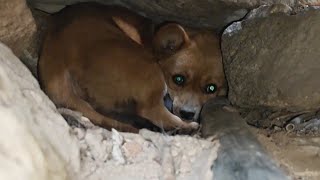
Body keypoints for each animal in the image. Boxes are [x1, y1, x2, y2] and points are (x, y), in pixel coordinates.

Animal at [38, 2, 226, 132]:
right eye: (178, 79)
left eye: (211, 88)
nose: (187, 114)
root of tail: (58, 63)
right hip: (151, 73)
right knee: (152, 112)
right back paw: (188, 127)